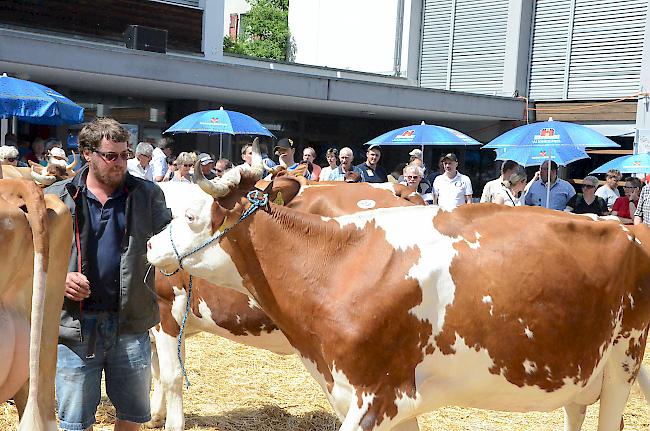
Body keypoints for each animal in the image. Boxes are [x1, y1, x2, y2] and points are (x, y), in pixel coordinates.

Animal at [148, 169, 650, 431]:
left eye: (189, 215)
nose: (151, 244)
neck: (336, 265)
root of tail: (626, 226)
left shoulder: (373, 397)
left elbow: (169, 375)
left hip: (623, 362)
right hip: (584, 369)